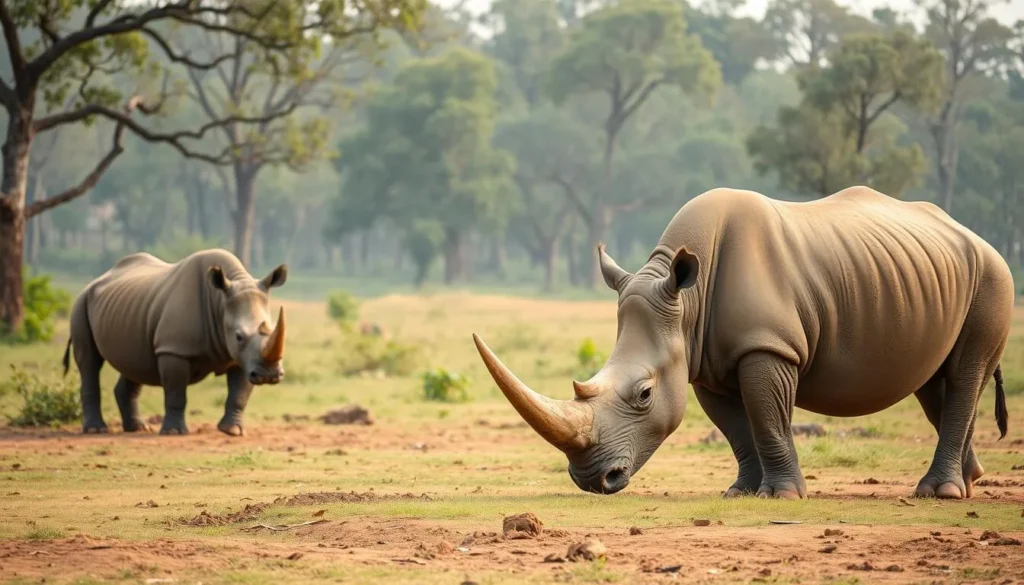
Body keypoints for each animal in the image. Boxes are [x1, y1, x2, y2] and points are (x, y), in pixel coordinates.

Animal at [62, 248, 288, 436]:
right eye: (239, 336)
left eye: (271, 329)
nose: (269, 375)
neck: (219, 303)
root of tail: (99, 279)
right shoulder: (173, 350)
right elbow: (176, 391)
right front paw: (173, 432)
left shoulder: (242, 357)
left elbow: (239, 393)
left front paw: (232, 431)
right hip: (81, 303)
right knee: (90, 362)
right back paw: (96, 430)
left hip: (129, 307)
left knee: (135, 362)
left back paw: (138, 428)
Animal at [473, 186, 1015, 500]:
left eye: (644, 394)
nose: (592, 481)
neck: (686, 300)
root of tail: (975, 236)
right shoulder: (704, 360)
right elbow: (736, 428)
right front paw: (740, 492)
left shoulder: (767, 346)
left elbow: (767, 417)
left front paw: (783, 497)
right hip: (934, 275)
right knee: (935, 384)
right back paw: (968, 482)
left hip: (994, 277)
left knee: (964, 373)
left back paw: (940, 493)